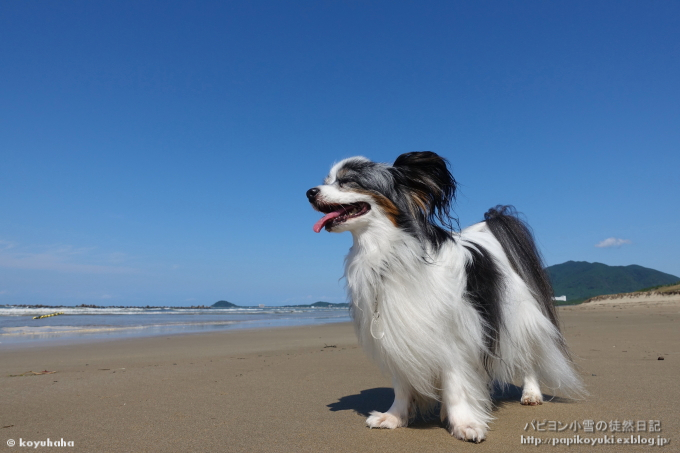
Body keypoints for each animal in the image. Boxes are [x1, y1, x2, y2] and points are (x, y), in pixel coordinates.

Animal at [308, 152, 584, 442]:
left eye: (348, 181)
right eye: (327, 180)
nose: (309, 192)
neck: (389, 253)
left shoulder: (453, 338)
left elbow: (455, 384)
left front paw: (464, 424)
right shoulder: (397, 333)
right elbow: (402, 386)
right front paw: (394, 417)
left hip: (518, 317)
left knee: (527, 356)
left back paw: (531, 393)